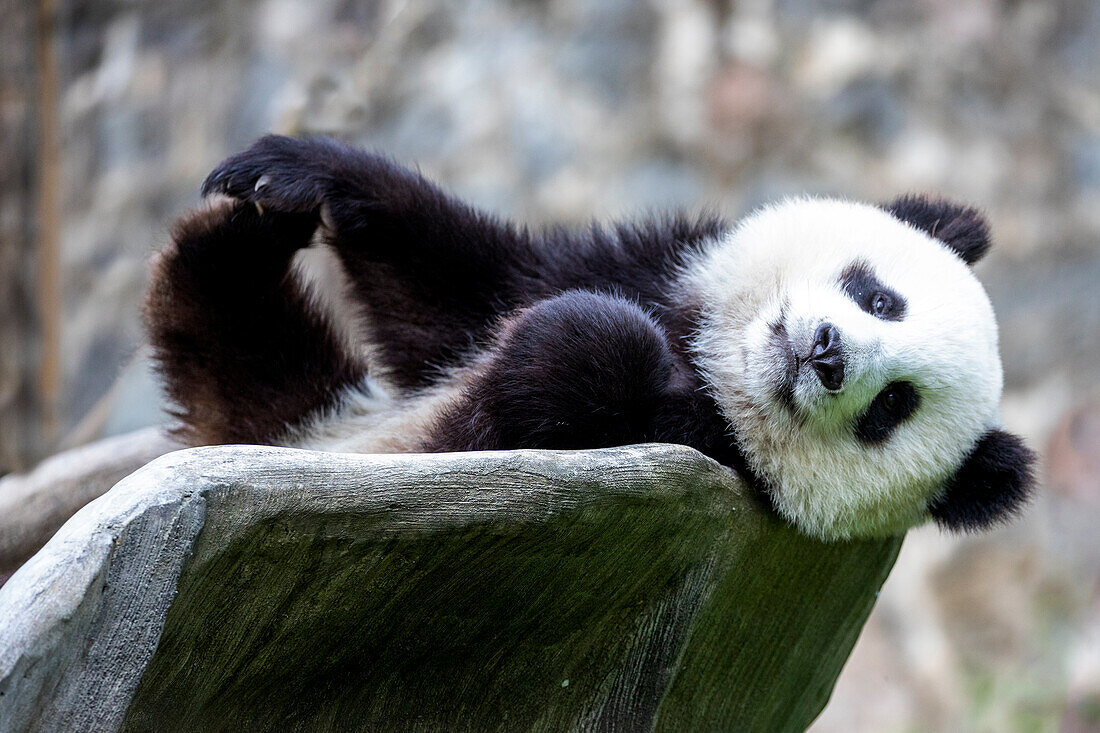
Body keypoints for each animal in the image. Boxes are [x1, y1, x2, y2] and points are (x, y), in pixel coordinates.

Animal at [144, 134, 1029, 539]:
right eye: (880, 296)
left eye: (892, 407)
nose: (826, 352)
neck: (713, 362)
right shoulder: (643, 264)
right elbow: (455, 286)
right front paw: (298, 172)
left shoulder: (687, 445)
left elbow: (559, 383)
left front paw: (585, 340)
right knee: (232, 325)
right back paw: (244, 235)